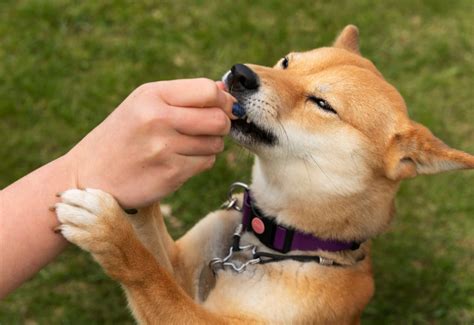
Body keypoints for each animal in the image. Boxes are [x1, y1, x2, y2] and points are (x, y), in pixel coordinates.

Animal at [53, 26, 472, 324]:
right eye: (286, 62)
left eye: (323, 104)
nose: (240, 74)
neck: (268, 240)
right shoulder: (183, 266)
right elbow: (154, 247)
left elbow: (150, 278)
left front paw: (108, 230)